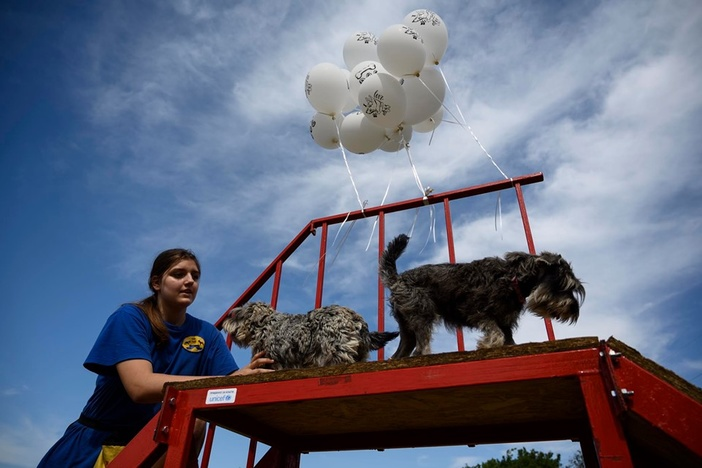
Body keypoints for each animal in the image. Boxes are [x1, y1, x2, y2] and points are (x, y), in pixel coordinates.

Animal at [382, 234, 584, 358]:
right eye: (563, 285)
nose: (574, 309)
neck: (514, 279)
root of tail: (397, 279)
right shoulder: (479, 313)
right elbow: (497, 334)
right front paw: (485, 345)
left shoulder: (505, 322)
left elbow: (509, 340)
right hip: (423, 316)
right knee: (421, 348)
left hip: (407, 328)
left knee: (400, 353)